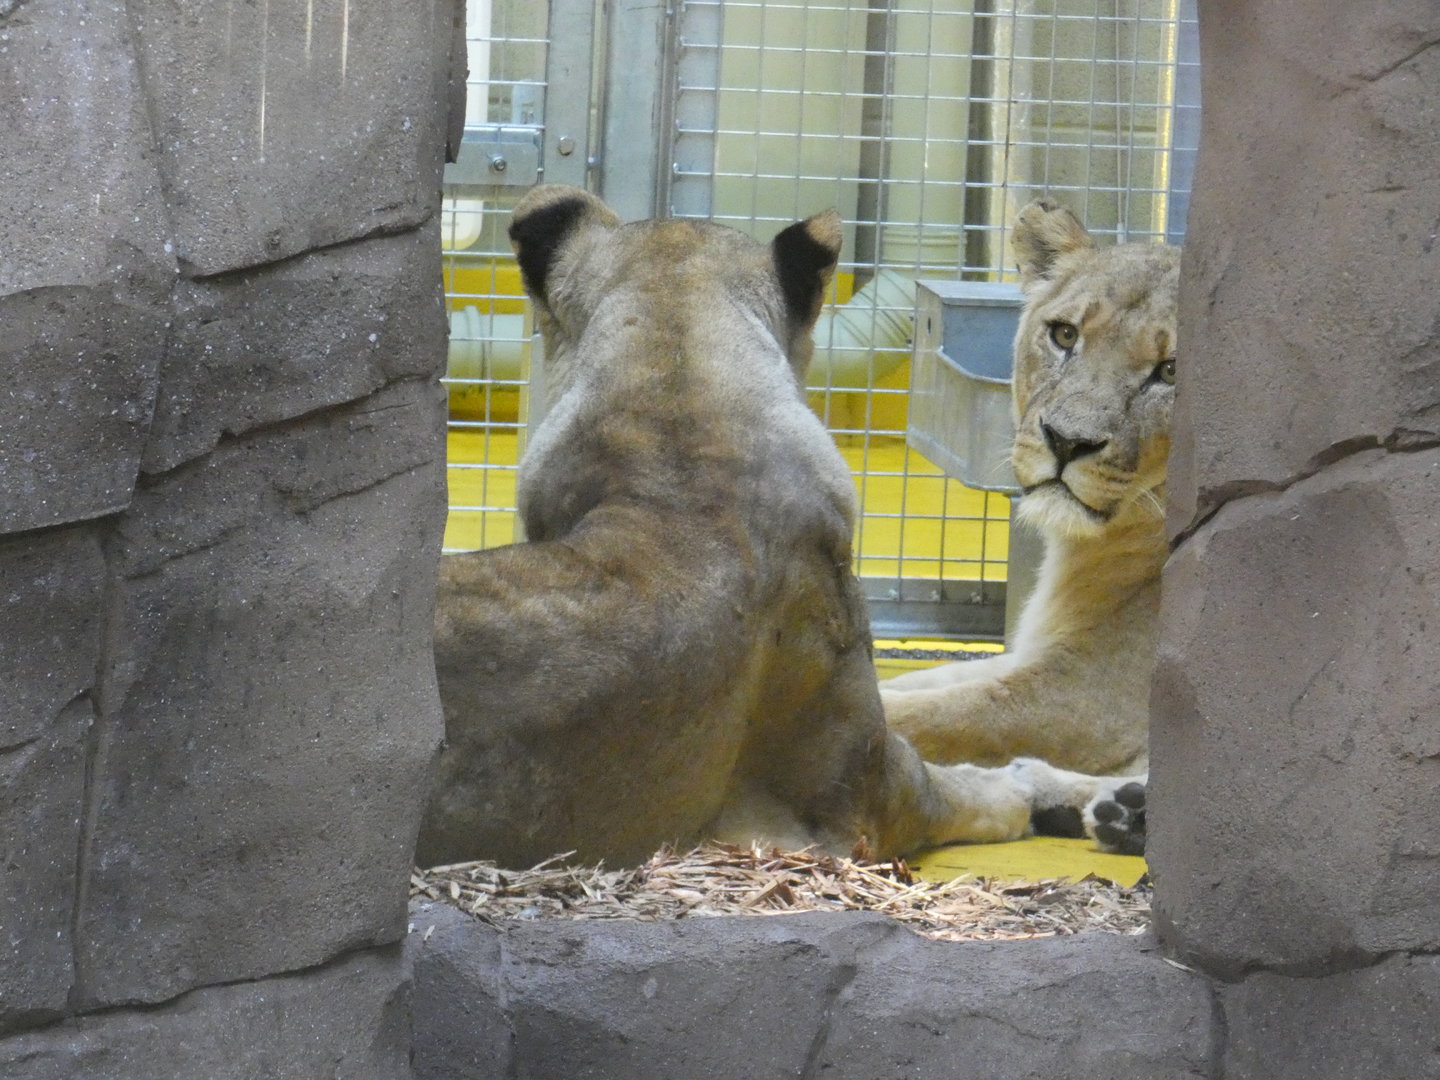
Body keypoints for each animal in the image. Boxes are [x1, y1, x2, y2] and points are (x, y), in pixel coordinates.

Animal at [881, 199, 1180, 855]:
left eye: (1171, 370)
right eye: (1065, 335)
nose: (1066, 441)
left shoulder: (1086, 698)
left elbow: (933, 714)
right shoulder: (1032, 654)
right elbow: (919, 681)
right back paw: (1111, 810)